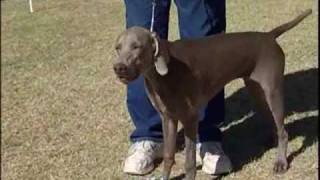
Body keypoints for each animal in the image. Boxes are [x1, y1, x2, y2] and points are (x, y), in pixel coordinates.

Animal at [113, 9, 312, 180]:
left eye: (137, 46)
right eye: (117, 48)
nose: (118, 68)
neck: (162, 74)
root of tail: (268, 36)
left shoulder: (190, 119)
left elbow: (189, 162)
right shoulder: (168, 118)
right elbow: (168, 156)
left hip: (273, 90)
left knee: (283, 131)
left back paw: (281, 162)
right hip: (257, 91)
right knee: (274, 123)